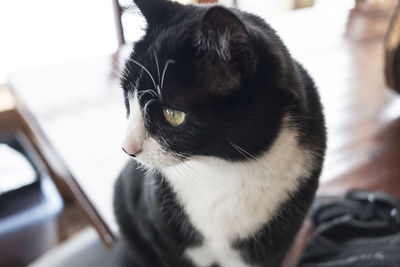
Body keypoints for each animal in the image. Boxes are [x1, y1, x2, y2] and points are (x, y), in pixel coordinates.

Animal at [112, 0, 324, 267]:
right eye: (128, 99)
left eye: (173, 115)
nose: (127, 148)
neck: (225, 172)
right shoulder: (162, 235)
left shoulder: (274, 247)